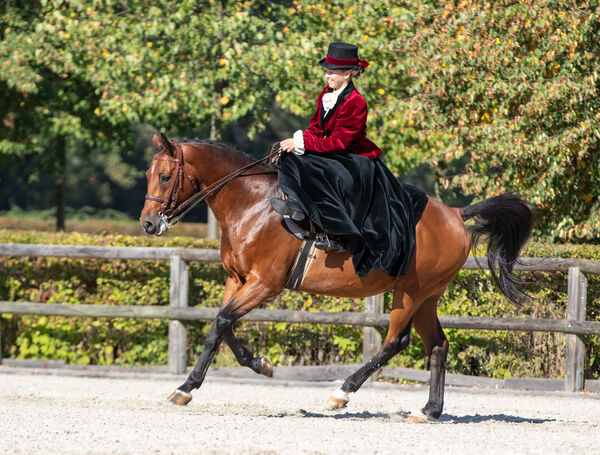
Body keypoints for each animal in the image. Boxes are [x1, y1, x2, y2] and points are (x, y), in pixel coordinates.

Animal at [139, 132, 528, 420]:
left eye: (165, 176)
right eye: (147, 175)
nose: (147, 225)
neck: (252, 204)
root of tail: (456, 213)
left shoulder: (265, 283)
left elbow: (221, 322)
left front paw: (197, 384)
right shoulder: (237, 281)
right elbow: (220, 328)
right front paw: (241, 370)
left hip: (411, 294)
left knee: (395, 342)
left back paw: (342, 393)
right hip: (427, 297)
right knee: (437, 345)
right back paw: (429, 410)